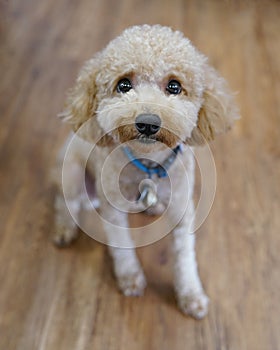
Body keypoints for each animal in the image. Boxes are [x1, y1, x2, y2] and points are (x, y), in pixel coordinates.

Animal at [52, 25, 236, 320]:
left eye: (174, 86)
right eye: (123, 85)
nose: (148, 123)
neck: (148, 165)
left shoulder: (183, 209)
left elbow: (185, 258)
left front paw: (191, 295)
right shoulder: (113, 209)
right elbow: (122, 245)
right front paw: (130, 278)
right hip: (71, 173)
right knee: (64, 202)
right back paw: (63, 229)